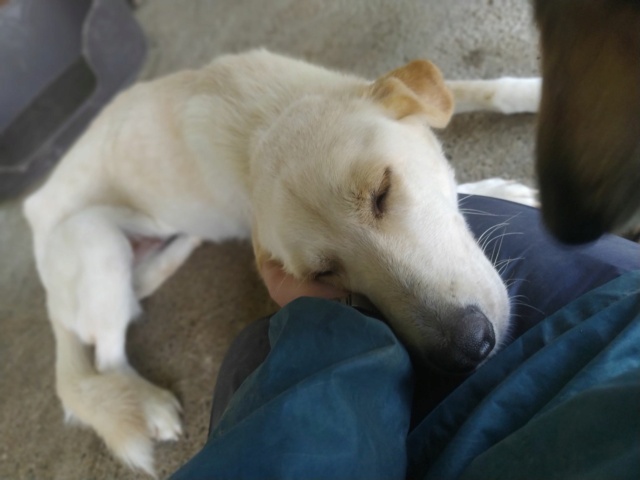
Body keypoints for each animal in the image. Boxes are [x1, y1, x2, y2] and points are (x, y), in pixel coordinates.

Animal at [21, 50, 540, 474]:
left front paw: (531, 93)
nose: (465, 350)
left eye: (382, 192)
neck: (263, 119)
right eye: (323, 274)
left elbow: (478, 91)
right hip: (97, 244)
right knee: (109, 355)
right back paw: (150, 406)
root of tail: (33, 213)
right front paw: (496, 189)